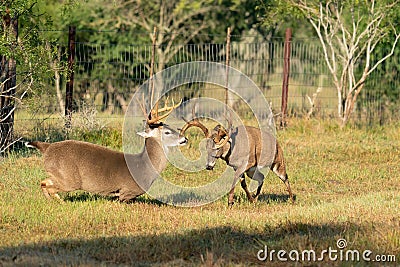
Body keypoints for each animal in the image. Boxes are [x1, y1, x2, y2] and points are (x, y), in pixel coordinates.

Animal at [25, 99, 187, 202]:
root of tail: (47, 147)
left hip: (57, 174)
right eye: (167, 132)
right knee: (48, 186)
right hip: (69, 179)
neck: (144, 167)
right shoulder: (127, 191)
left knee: (43, 182)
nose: (184, 139)